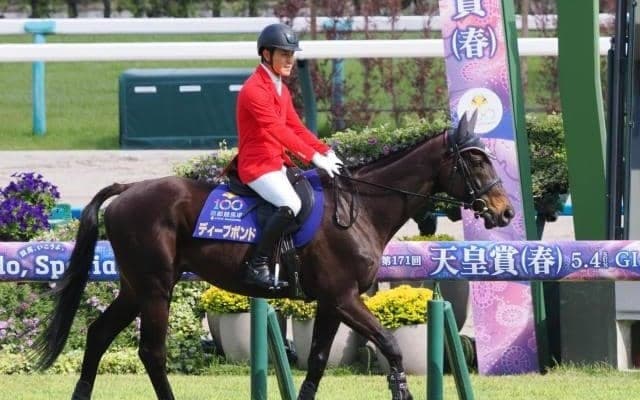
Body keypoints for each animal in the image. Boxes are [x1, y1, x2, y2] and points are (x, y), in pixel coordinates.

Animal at [33, 112, 514, 400]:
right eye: (475, 161)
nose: (505, 211)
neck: (359, 208)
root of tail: (129, 189)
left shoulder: (332, 303)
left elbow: (317, 361)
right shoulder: (344, 298)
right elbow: (391, 347)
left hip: (136, 288)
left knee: (98, 334)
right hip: (155, 289)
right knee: (151, 351)